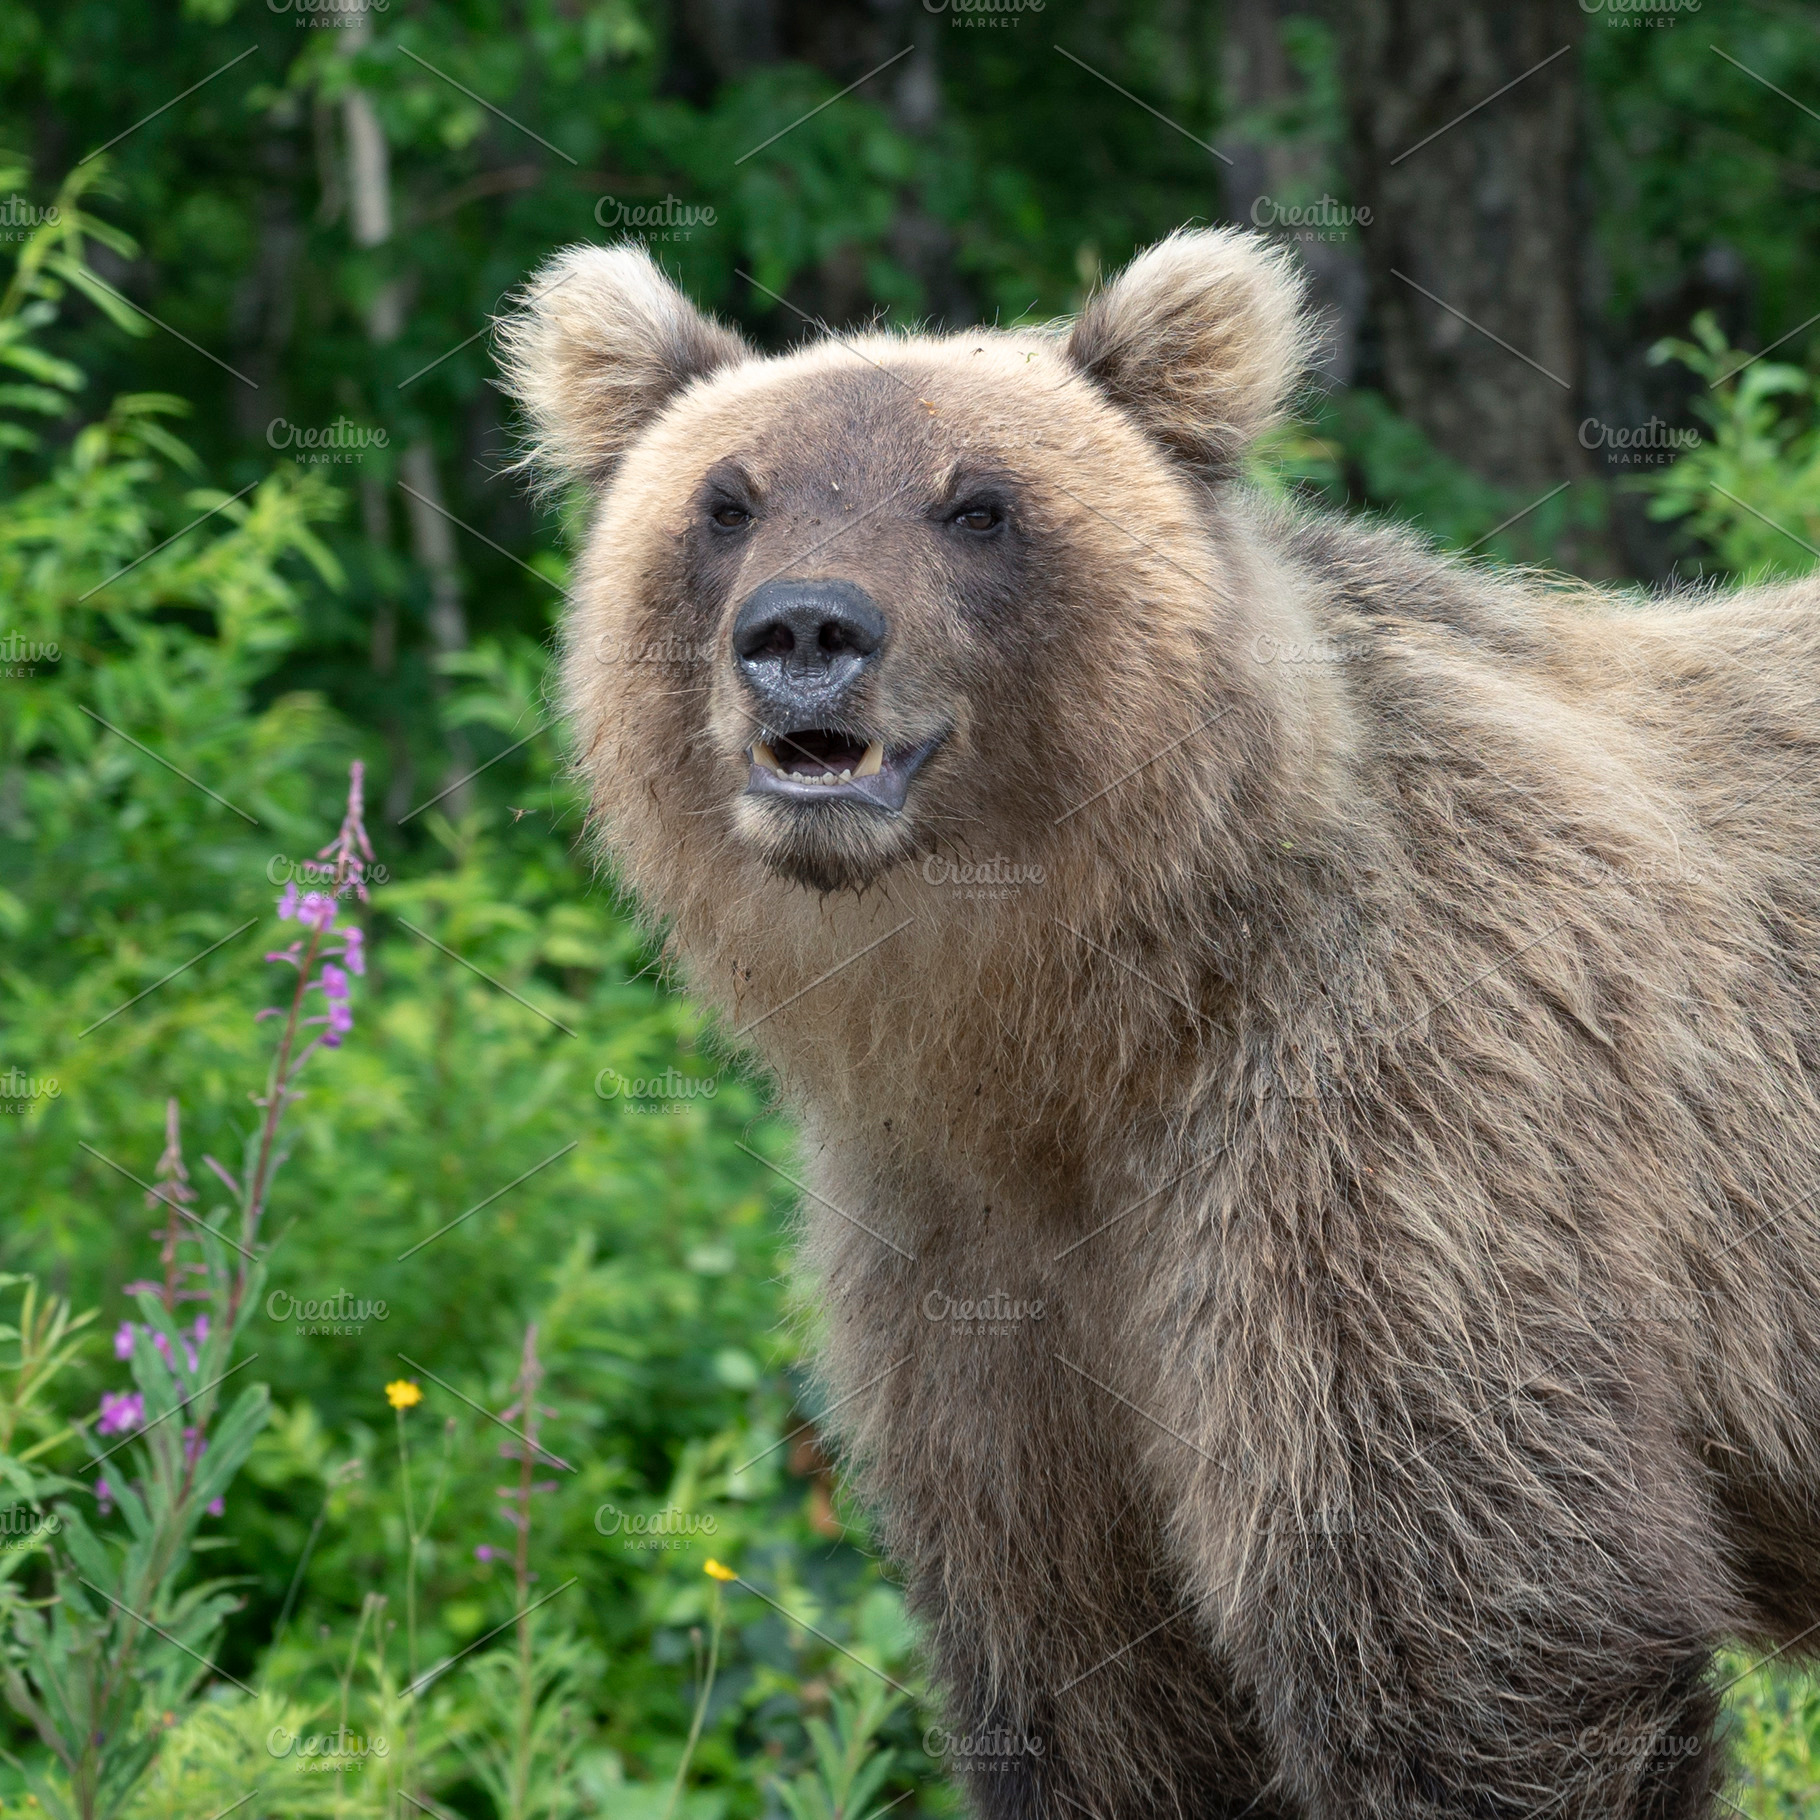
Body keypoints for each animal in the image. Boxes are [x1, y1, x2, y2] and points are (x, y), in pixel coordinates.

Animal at [499, 229, 1820, 1819]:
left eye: (978, 502)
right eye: (726, 499)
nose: (804, 629)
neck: (1075, 1040)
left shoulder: (1401, 1153)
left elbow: (1483, 1639)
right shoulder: (970, 1277)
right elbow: (1101, 1685)